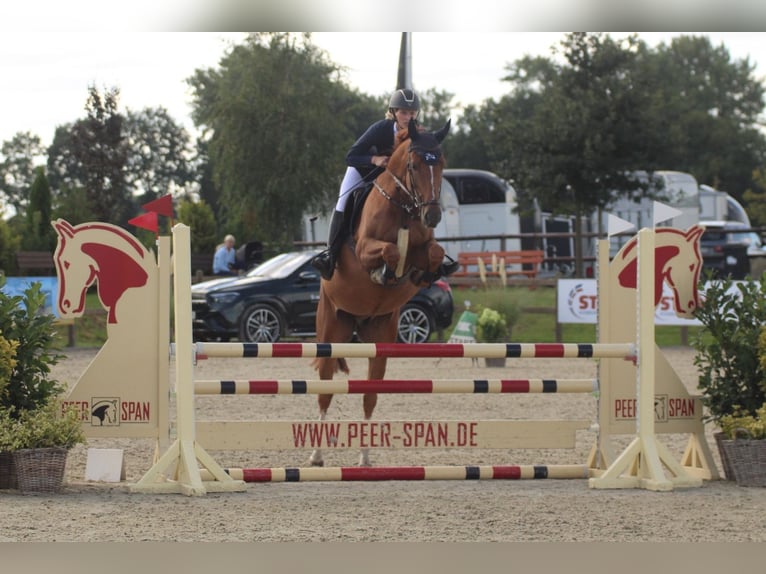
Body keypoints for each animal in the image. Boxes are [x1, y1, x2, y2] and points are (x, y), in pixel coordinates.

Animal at [312, 118, 452, 468]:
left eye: (441, 163)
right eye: (414, 166)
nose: (432, 216)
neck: (403, 207)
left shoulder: (424, 248)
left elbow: (433, 252)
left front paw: (425, 272)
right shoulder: (364, 249)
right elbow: (389, 251)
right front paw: (386, 271)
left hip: (380, 337)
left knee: (369, 396)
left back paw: (364, 458)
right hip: (330, 331)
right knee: (324, 392)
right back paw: (316, 455)